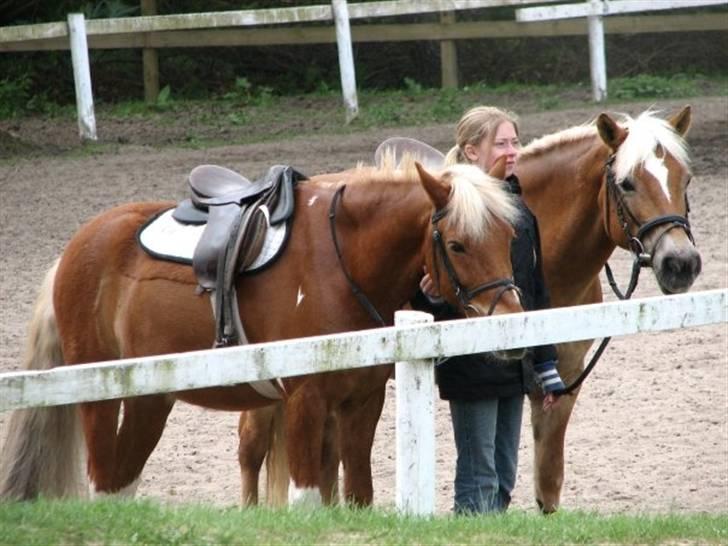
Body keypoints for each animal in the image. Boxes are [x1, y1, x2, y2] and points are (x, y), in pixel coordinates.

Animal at [0, 159, 528, 504]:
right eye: (457, 245)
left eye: (509, 237)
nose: (509, 319)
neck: (341, 261)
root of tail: (75, 248)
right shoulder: (305, 401)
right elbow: (309, 498)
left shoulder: (362, 403)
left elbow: (358, 493)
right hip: (101, 397)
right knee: (105, 481)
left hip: (151, 399)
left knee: (120, 485)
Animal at [237, 107, 700, 510]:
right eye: (627, 183)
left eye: (686, 179)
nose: (681, 263)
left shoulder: (561, 381)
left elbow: (548, 484)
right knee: (251, 448)